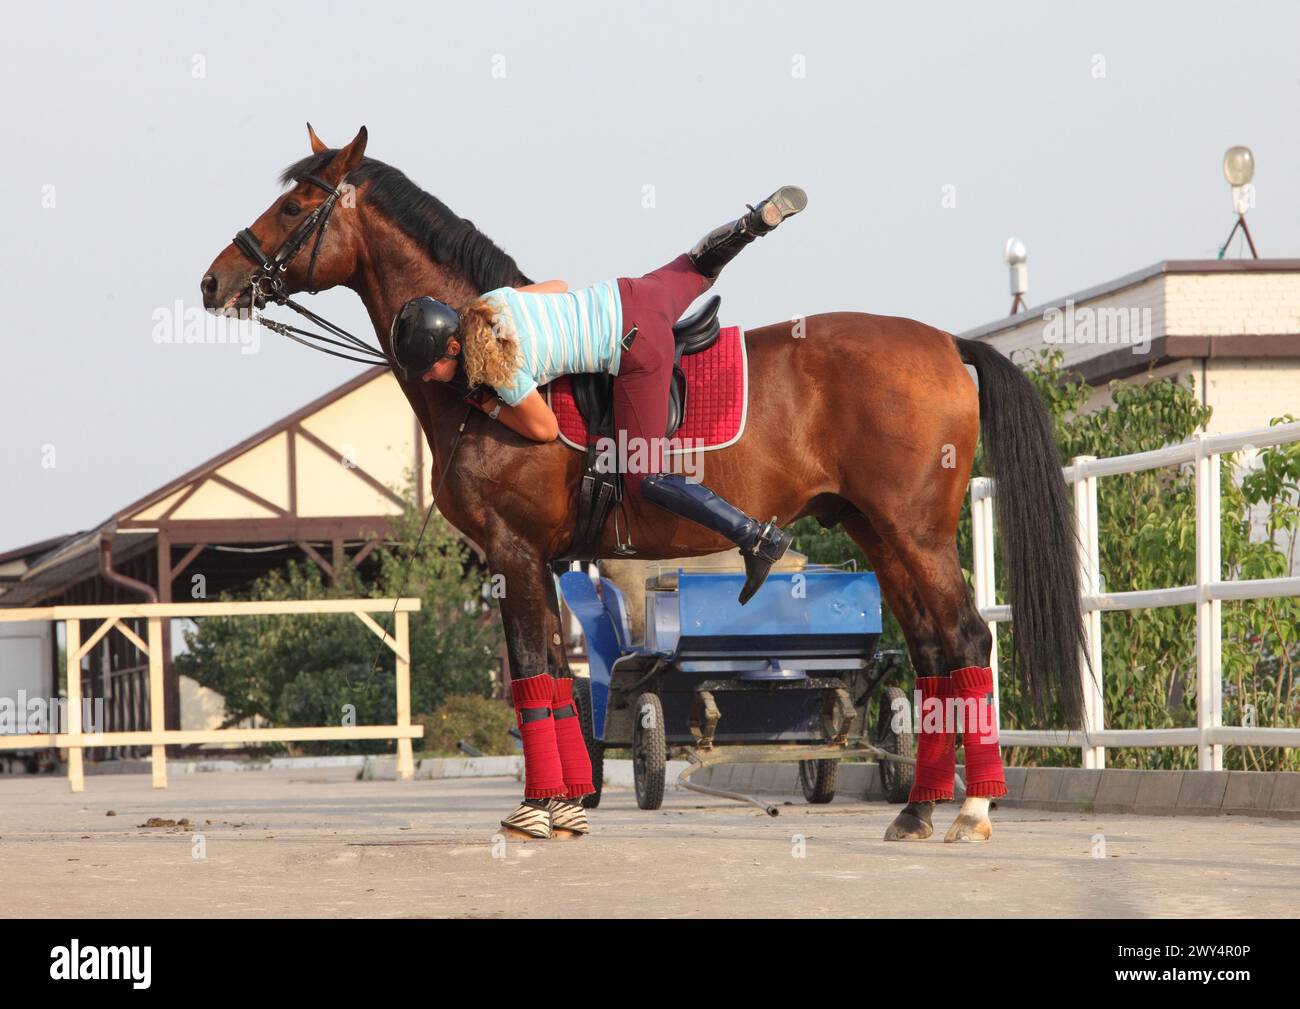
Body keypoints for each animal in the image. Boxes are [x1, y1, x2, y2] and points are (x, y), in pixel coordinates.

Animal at [195, 126, 1086, 842]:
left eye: (296, 204)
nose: (214, 281)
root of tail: (946, 342)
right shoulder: (538, 563)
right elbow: (556, 679)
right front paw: (566, 804)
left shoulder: (514, 554)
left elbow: (532, 675)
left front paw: (538, 811)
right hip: (879, 530)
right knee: (935, 653)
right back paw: (919, 806)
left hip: (914, 530)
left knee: (966, 642)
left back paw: (973, 806)